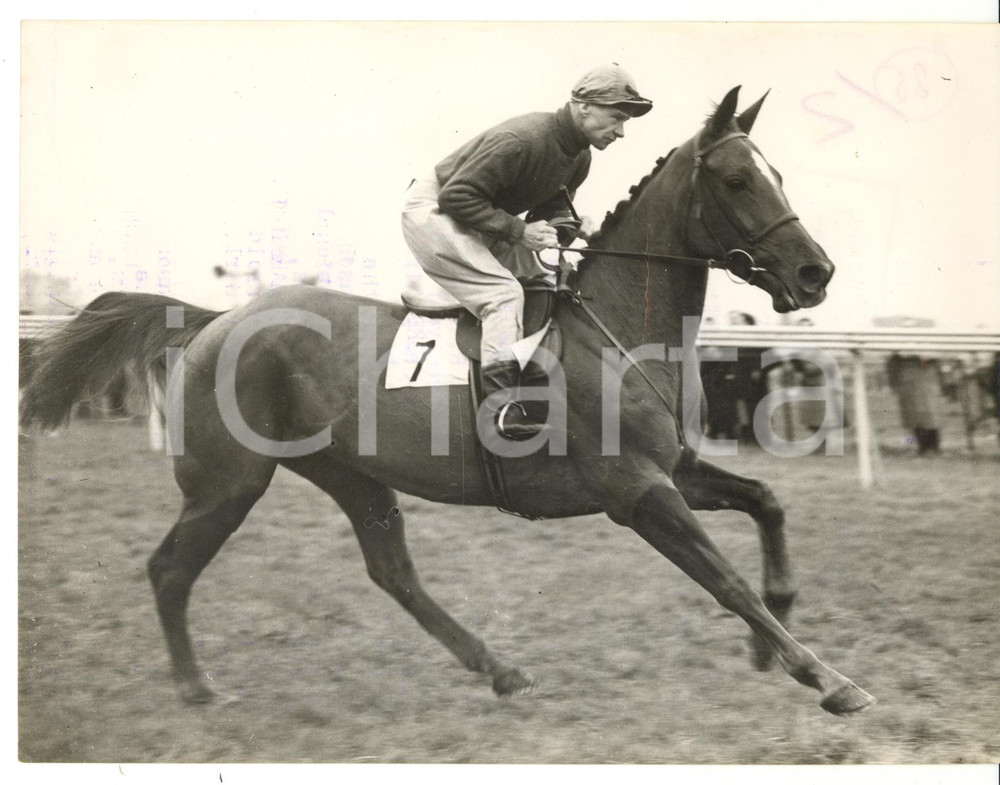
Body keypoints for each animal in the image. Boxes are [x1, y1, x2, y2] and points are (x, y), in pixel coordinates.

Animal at [20, 86, 875, 715]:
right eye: (736, 180)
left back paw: (500, 668)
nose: (816, 273)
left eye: (776, 174)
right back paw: (196, 685)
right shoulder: (635, 489)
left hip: (350, 473)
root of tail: (213, 318)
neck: (619, 329)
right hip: (229, 480)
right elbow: (726, 581)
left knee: (392, 572)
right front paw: (829, 678)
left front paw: (772, 639)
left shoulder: (676, 466)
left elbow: (765, 501)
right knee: (168, 568)